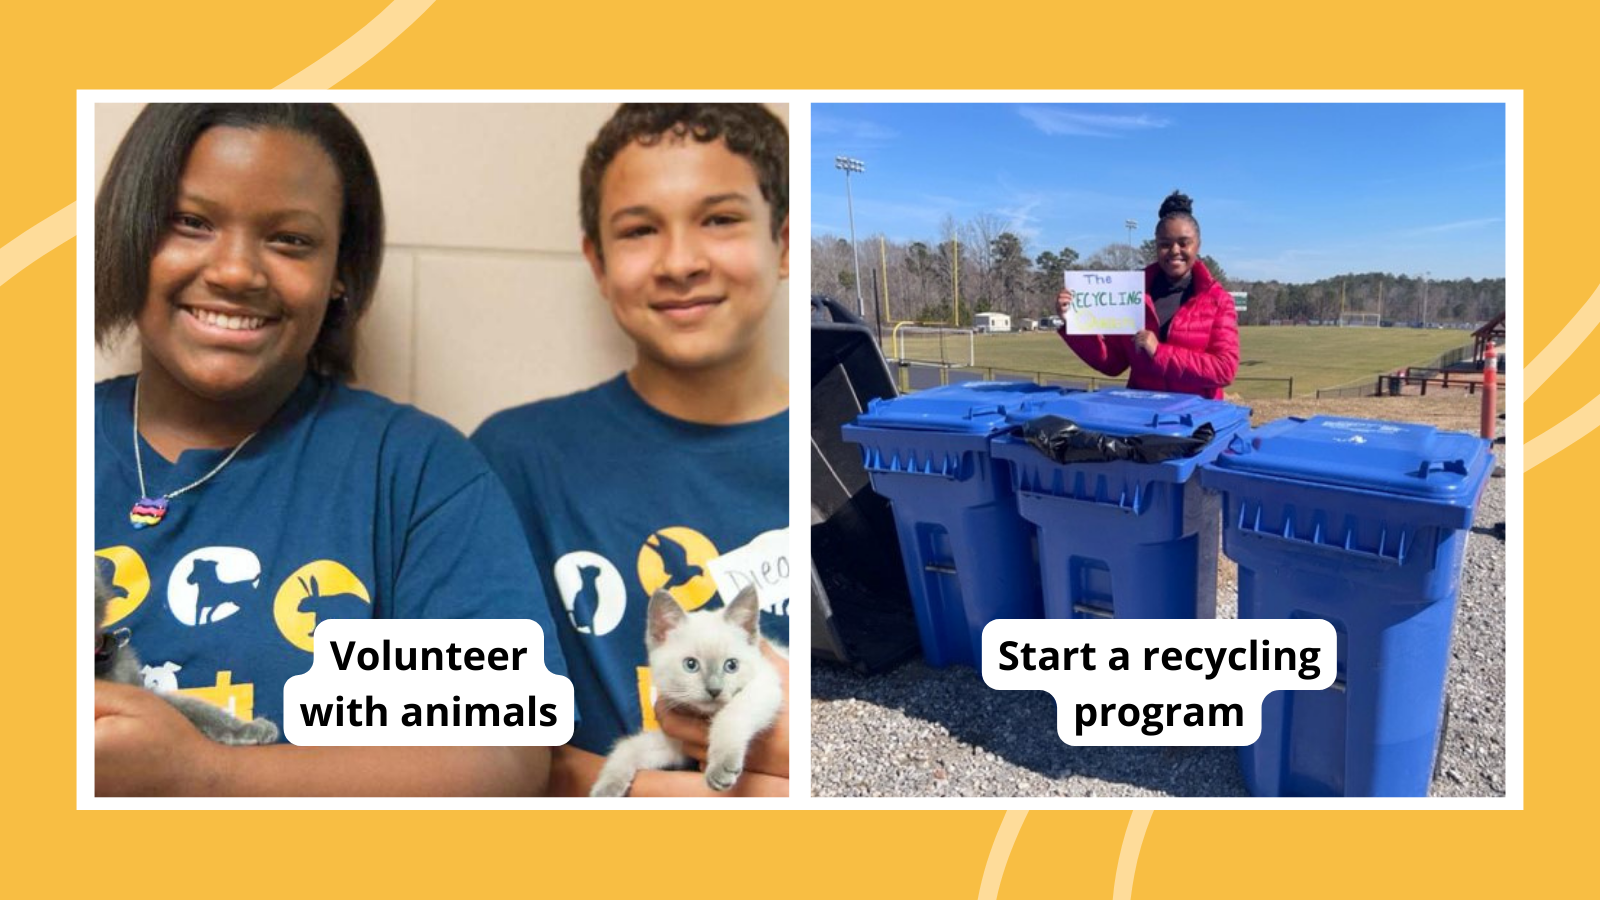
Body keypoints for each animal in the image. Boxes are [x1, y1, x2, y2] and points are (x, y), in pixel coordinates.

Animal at [592, 586, 784, 794]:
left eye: (731, 666)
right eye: (691, 665)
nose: (714, 690)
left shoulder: (764, 684)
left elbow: (728, 716)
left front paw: (720, 766)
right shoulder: (677, 743)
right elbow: (628, 747)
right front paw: (606, 787)